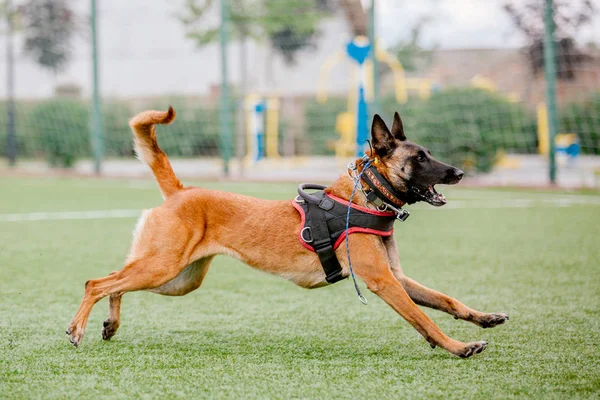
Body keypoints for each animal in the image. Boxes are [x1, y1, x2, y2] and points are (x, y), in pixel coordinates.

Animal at [64, 108, 506, 358]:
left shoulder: (397, 277)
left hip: (176, 279)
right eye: (420, 159)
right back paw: (78, 328)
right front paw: (458, 347)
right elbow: (424, 319)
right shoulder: (383, 281)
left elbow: (446, 300)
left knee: (114, 281)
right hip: (163, 267)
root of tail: (181, 191)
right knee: (95, 282)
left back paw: (110, 325)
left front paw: (483, 319)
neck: (363, 196)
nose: (459, 173)